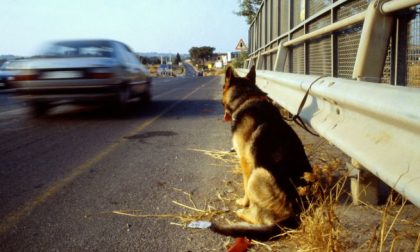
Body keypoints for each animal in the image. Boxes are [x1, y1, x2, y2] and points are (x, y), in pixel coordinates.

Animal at [210, 65, 312, 240]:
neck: (246, 98)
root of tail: (295, 214)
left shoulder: (245, 161)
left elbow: (245, 188)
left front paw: (243, 202)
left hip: (259, 172)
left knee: (259, 217)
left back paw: (242, 212)